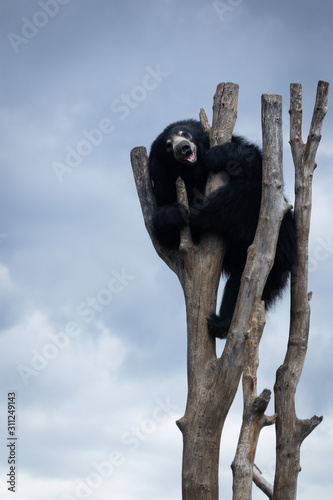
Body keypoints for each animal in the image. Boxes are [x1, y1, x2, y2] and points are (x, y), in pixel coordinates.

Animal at [148, 119, 296, 338]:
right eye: (167, 146)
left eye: (185, 134)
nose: (183, 148)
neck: (193, 173)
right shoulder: (163, 184)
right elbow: (165, 231)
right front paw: (175, 213)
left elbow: (260, 171)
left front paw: (215, 156)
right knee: (241, 285)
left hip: (280, 236)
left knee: (243, 193)